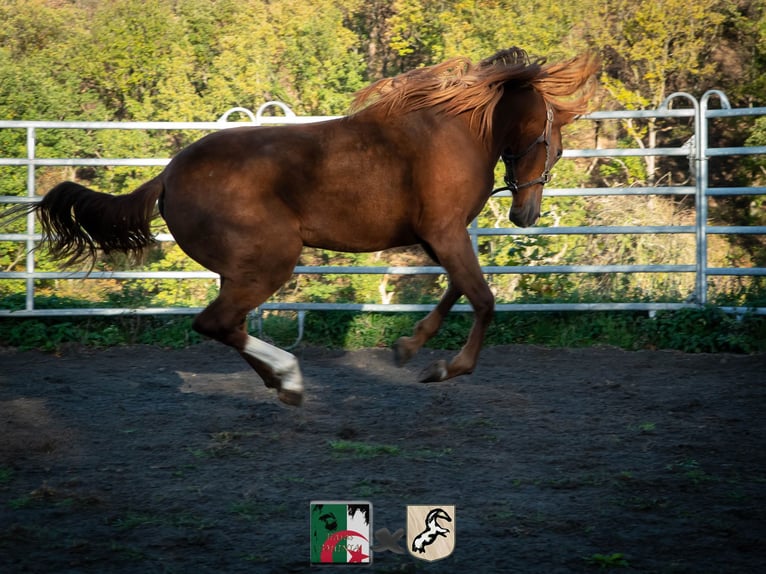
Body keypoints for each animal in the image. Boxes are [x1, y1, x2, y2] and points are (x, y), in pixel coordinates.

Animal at [7, 48, 600, 404]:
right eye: (552, 142)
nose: (526, 214)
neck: (450, 130)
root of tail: (168, 176)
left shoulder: (438, 237)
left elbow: (457, 290)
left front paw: (408, 348)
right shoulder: (445, 232)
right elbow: (482, 298)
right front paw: (443, 367)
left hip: (243, 268)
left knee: (226, 325)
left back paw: (281, 382)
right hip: (271, 261)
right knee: (216, 323)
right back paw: (289, 378)